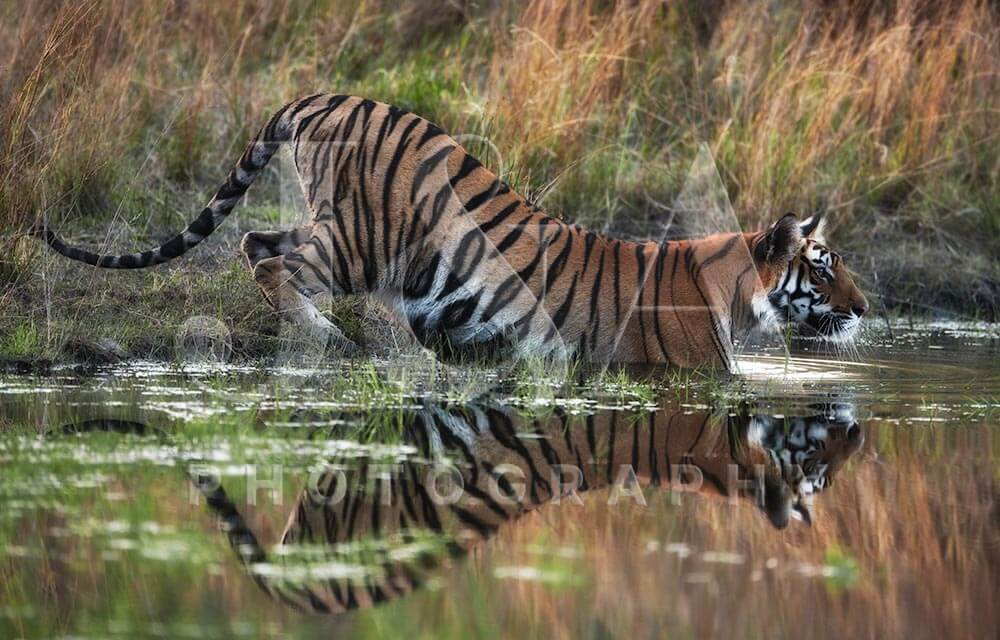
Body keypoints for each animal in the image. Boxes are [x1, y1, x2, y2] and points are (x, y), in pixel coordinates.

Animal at [37, 92, 868, 368]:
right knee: (268, 259)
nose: (866, 310)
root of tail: (326, 96)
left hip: (339, 225)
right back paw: (329, 338)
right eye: (823, 266)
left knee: (259, 243)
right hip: (364, 237)